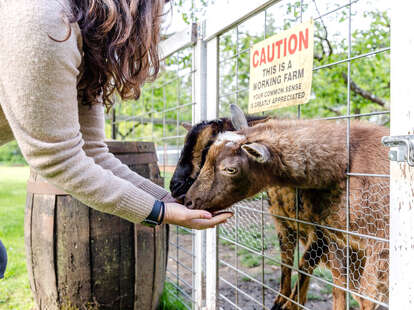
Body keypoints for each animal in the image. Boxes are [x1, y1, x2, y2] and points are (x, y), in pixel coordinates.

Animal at [181, 105, 388, 308]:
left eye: (230, 169)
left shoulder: (378, 245)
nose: (189, 201)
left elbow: (365, 297)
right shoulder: (338, 241)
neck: (347, 161)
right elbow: (338, 287)